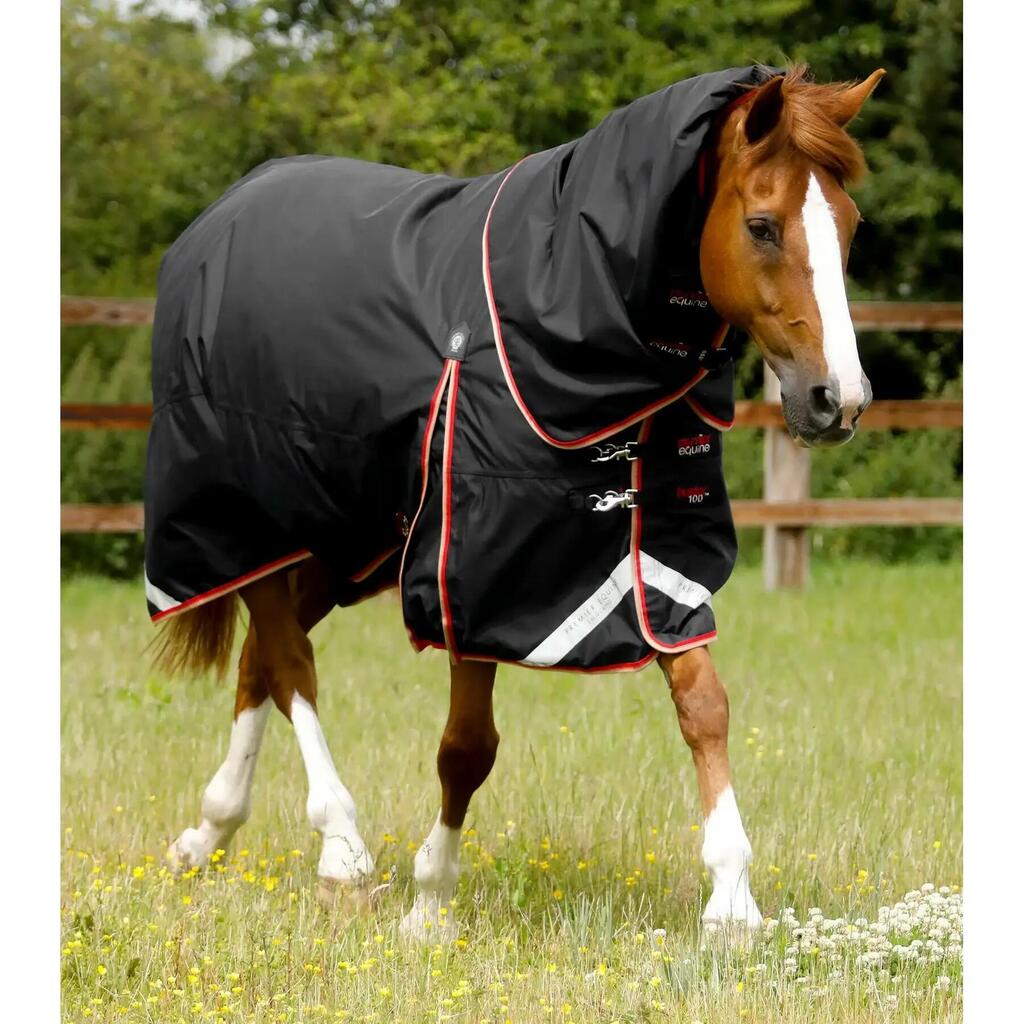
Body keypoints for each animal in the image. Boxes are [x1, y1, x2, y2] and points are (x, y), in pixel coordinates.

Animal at [148, 64, 885, 941]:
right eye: (765, 226)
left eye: (849, 226)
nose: (837, 400)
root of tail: (219, 216)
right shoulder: (471, 564)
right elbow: (468, 744)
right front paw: (431, 899)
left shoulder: (650, 557)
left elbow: (704, 704)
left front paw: (733, 900)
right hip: (249, 519)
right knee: (290, 662)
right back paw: (341, 853)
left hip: (338, 545)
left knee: (260, 660)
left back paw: (208, 832)